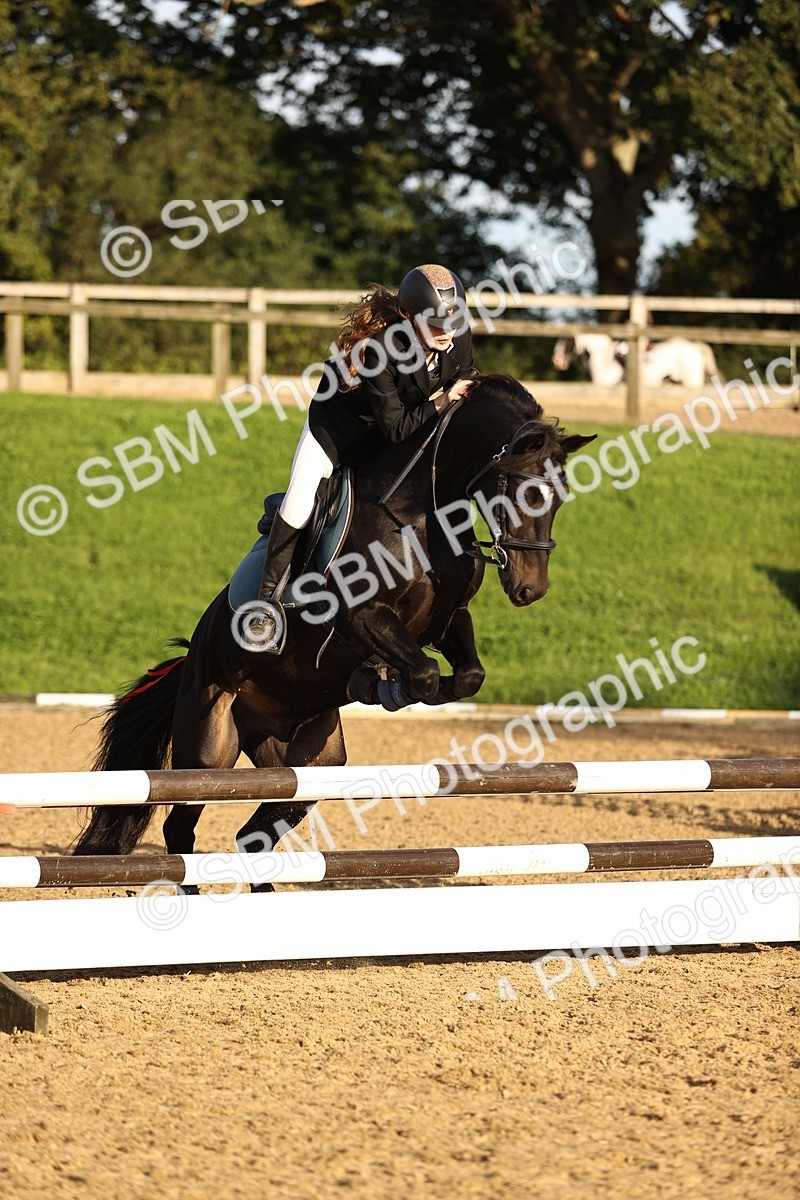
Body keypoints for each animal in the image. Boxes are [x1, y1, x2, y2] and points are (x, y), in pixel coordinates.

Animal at [73, 374, 594, 877]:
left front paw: (386, 684)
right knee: (181, 828)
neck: (421, 514)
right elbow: (425, 673)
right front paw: (385, 684)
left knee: (252, 836)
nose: (531, 589)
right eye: (525, 491)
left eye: (561, 498)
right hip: (209, 748)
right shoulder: (359, 617)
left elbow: (467, 675)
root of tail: (191, 659)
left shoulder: (449, 619)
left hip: (307, 763)